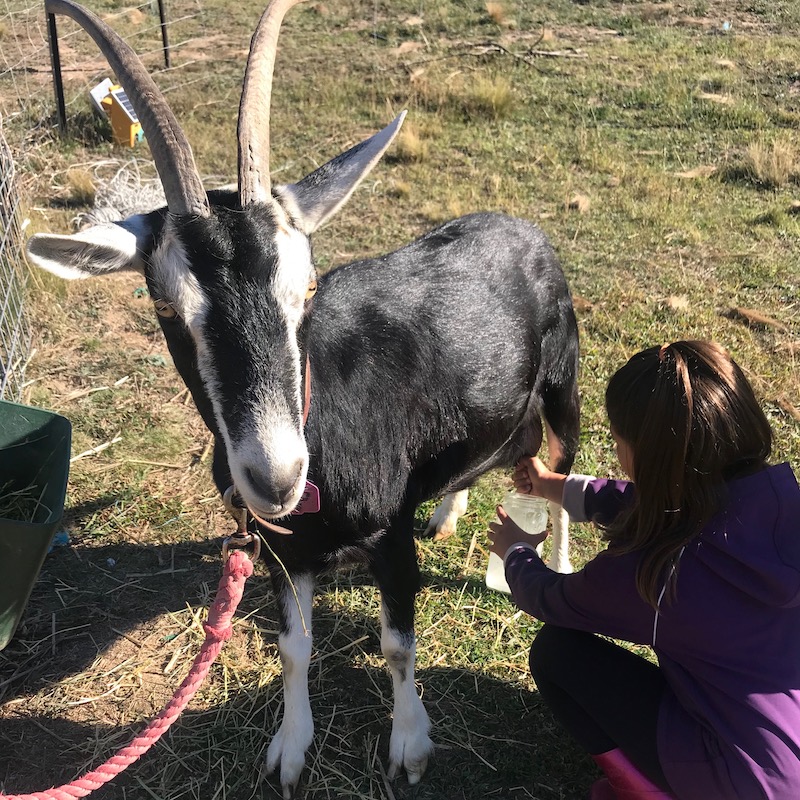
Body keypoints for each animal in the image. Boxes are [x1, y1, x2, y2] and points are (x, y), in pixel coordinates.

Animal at [28, 3, 580, 796]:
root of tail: (522, 228)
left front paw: (409, 744)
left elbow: (397, 643)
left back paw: (560, 570)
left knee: (563, 474)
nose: (278, 477)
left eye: (310, 286)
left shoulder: (388, 536)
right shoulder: (281, 550)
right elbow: (293, 647)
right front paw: (290, 748)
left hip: (563, 383)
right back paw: (448, 511)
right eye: (164, 305)